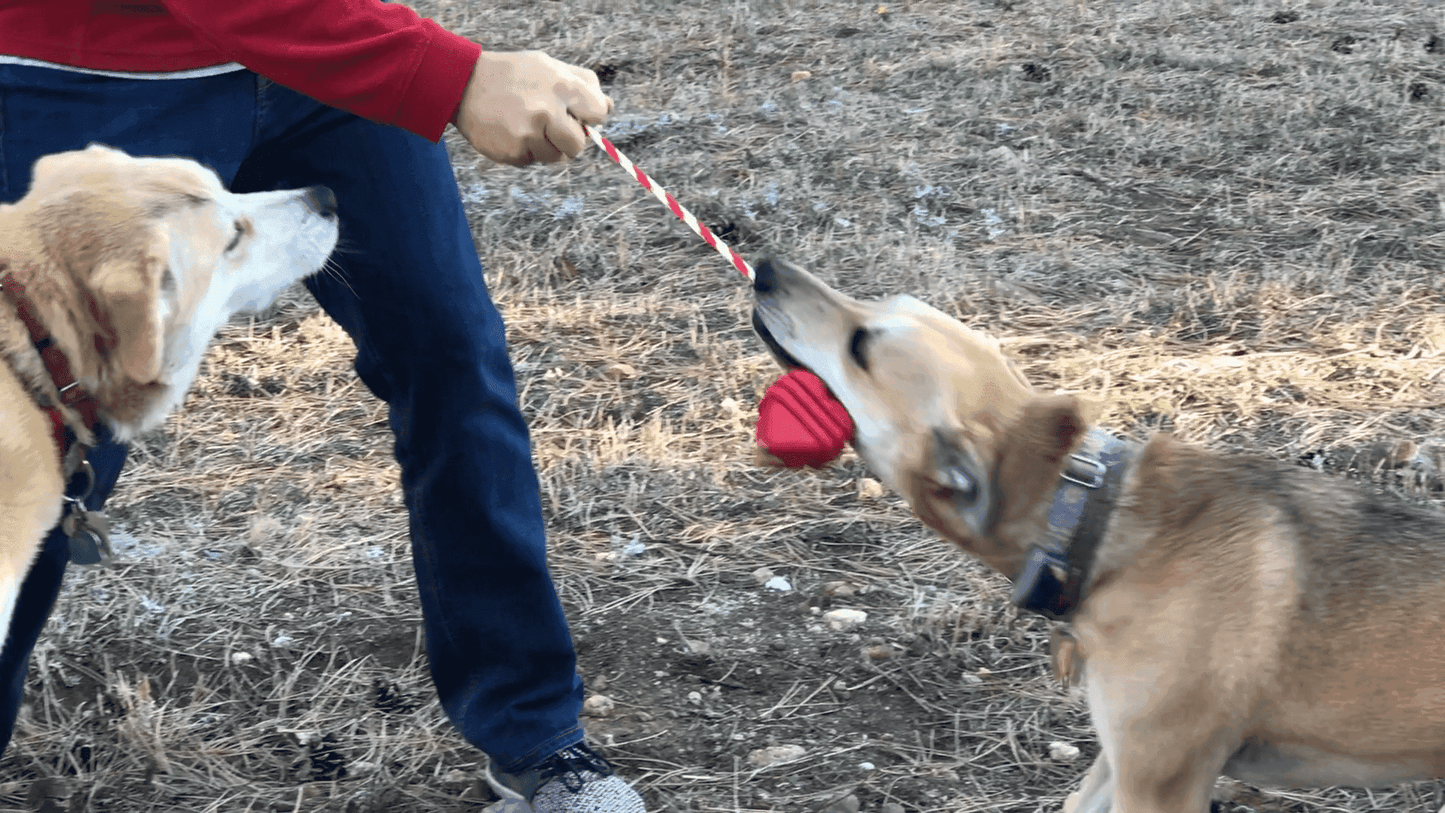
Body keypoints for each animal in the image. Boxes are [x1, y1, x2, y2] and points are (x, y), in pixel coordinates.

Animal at [751, 259, 1445, 813]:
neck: (1099, 521)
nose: (764, 265)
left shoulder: (1159, 781)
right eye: (875, 306)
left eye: (860, 345)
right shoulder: (1117, 760)